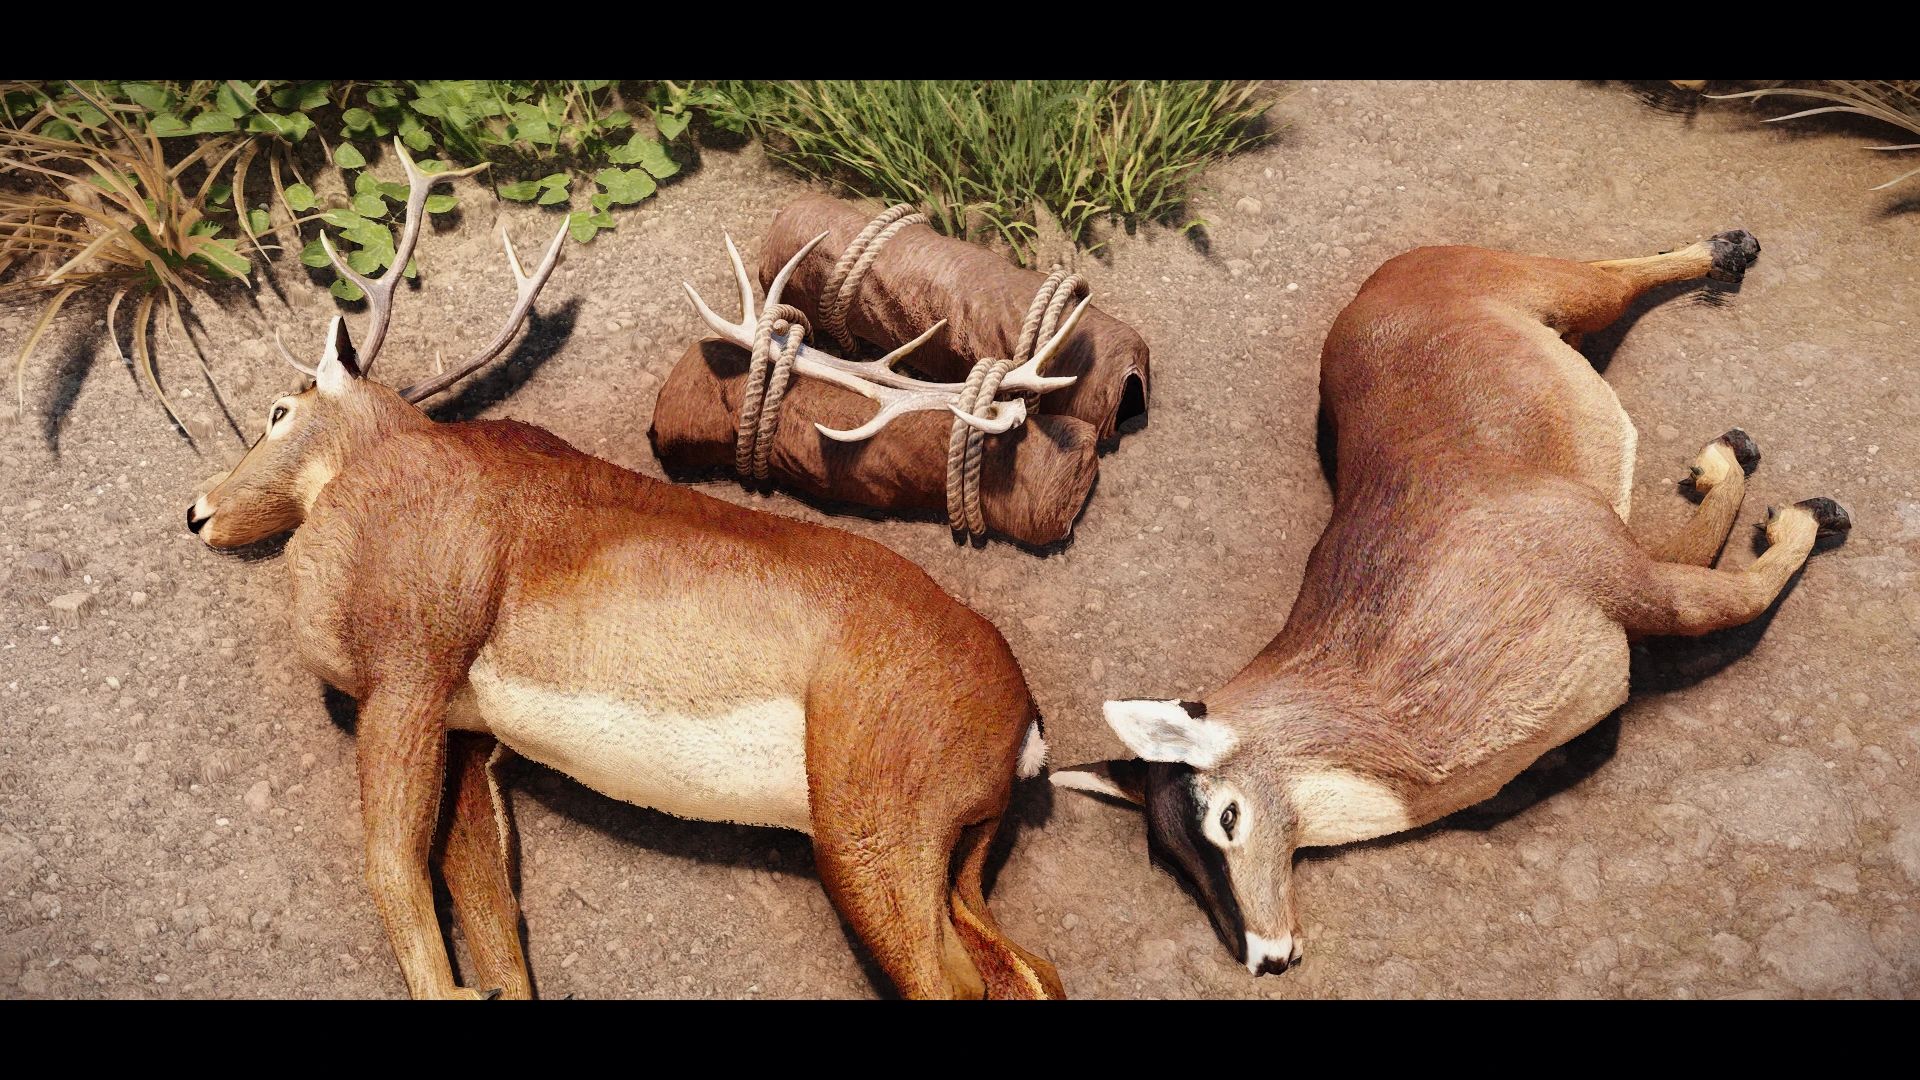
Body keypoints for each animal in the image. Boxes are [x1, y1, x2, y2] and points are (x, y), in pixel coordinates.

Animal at [185, 138, 1065, 1000]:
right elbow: (490, 915)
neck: (378, 468)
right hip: (954, 856)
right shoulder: (465, 730)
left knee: (948, 980)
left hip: (871, 828)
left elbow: (397, 881)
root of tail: (1026, 721)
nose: (199, 510)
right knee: (1031, 970)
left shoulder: (404, 683)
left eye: (277, 412)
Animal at [1052, 229, 1852, 978]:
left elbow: (1742, 593)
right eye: (1170, 858)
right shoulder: (1631, 566)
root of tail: (1380, 284)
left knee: (1617, 278)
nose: (1264, 955)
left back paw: (1730, 256)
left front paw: (1796, 507)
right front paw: (1734, 466)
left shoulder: (1631, 580)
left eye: (1226, 815)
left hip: (1571, 293)